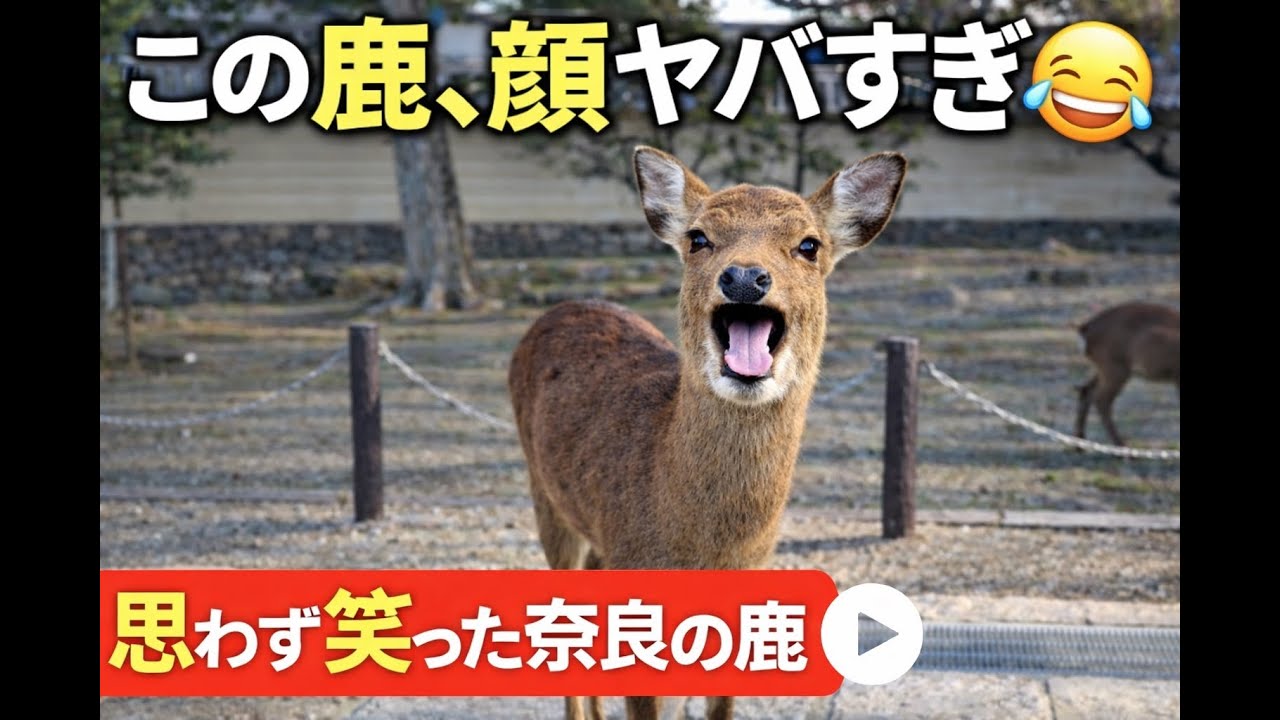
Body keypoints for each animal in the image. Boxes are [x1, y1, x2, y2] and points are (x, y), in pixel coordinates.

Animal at [1074, 301, 1180, 447]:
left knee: (1086, 390)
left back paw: (1080, 442)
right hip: (1115, 368)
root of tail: (1085, 329)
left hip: (1105, 368)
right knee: (1101, 400)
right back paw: (1121, 445)